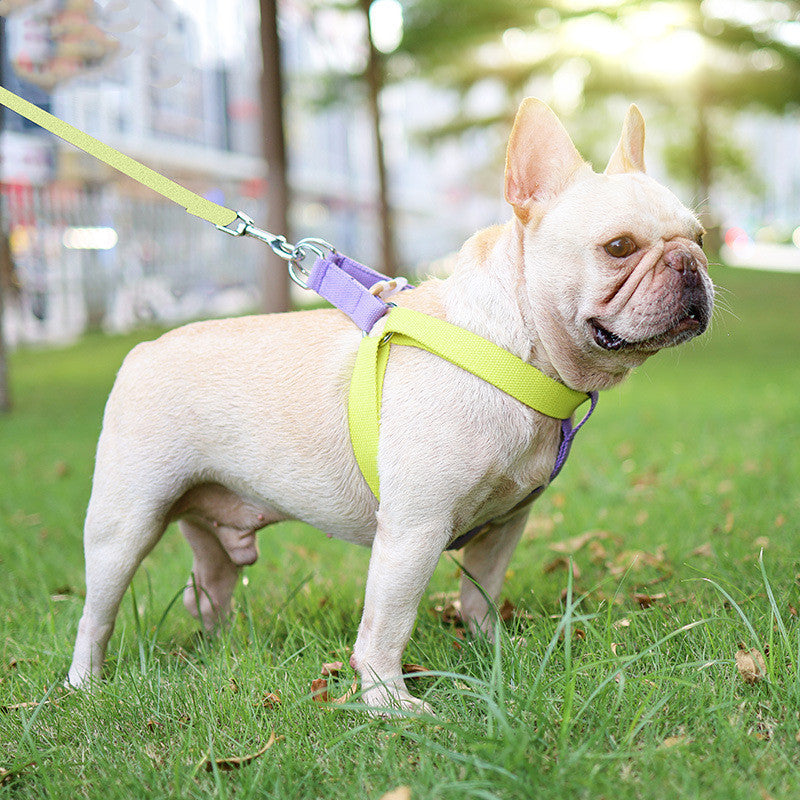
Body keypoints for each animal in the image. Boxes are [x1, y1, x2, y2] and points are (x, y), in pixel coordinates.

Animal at [64, 98, 712, 712]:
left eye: (701, 236)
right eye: (619, 247)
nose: (690, 263)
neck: (514, 351)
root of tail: (143, 349)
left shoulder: (506, 524)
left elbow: (479, 595)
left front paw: (493, 653)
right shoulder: (413, 530)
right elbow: (388, 624)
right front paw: (387, 703)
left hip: (211, 525)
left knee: (208, 588)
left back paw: (219, 652)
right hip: (126, 523)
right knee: (96, 612)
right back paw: (84, 683)